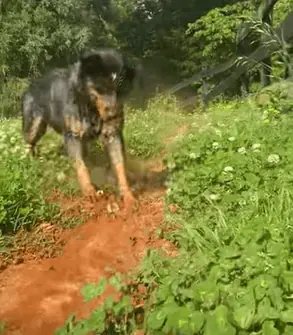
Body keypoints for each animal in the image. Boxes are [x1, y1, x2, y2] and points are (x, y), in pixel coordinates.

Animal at [21, 46, 141, 205]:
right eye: (100, 88)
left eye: (121, 90)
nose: (113, 115)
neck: (91, 107)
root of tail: (31, 85)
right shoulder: (73, 135)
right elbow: (80, 166)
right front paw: (89, 191)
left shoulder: (112, 134)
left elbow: (119, 165)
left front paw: (127, 194)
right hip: (34, 126)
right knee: (29, 143)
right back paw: (30, 163)